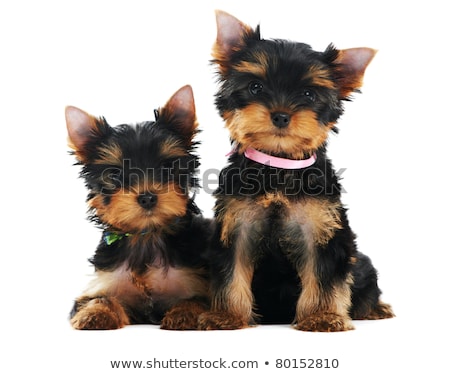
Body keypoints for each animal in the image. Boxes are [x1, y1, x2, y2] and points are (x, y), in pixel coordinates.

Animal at [66, 85, 212, 330]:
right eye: (115, 174)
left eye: (167, 166)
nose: (147, 198)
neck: (146, 236)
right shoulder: (105, 281)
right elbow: (99, 298)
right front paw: (95, 314)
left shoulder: (197, 280)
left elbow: (197, 300)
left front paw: (185, 314)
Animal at [200, 10, 394, 332]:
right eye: (256, 87)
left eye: (308, 94)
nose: (280, 115)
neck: (279, 164)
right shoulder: (237, 223)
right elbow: (231, 271)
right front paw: (226, 316)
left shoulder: (322, 228)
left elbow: (324, 274)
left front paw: (323, 316)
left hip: (358, 261)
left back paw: (375, 308)